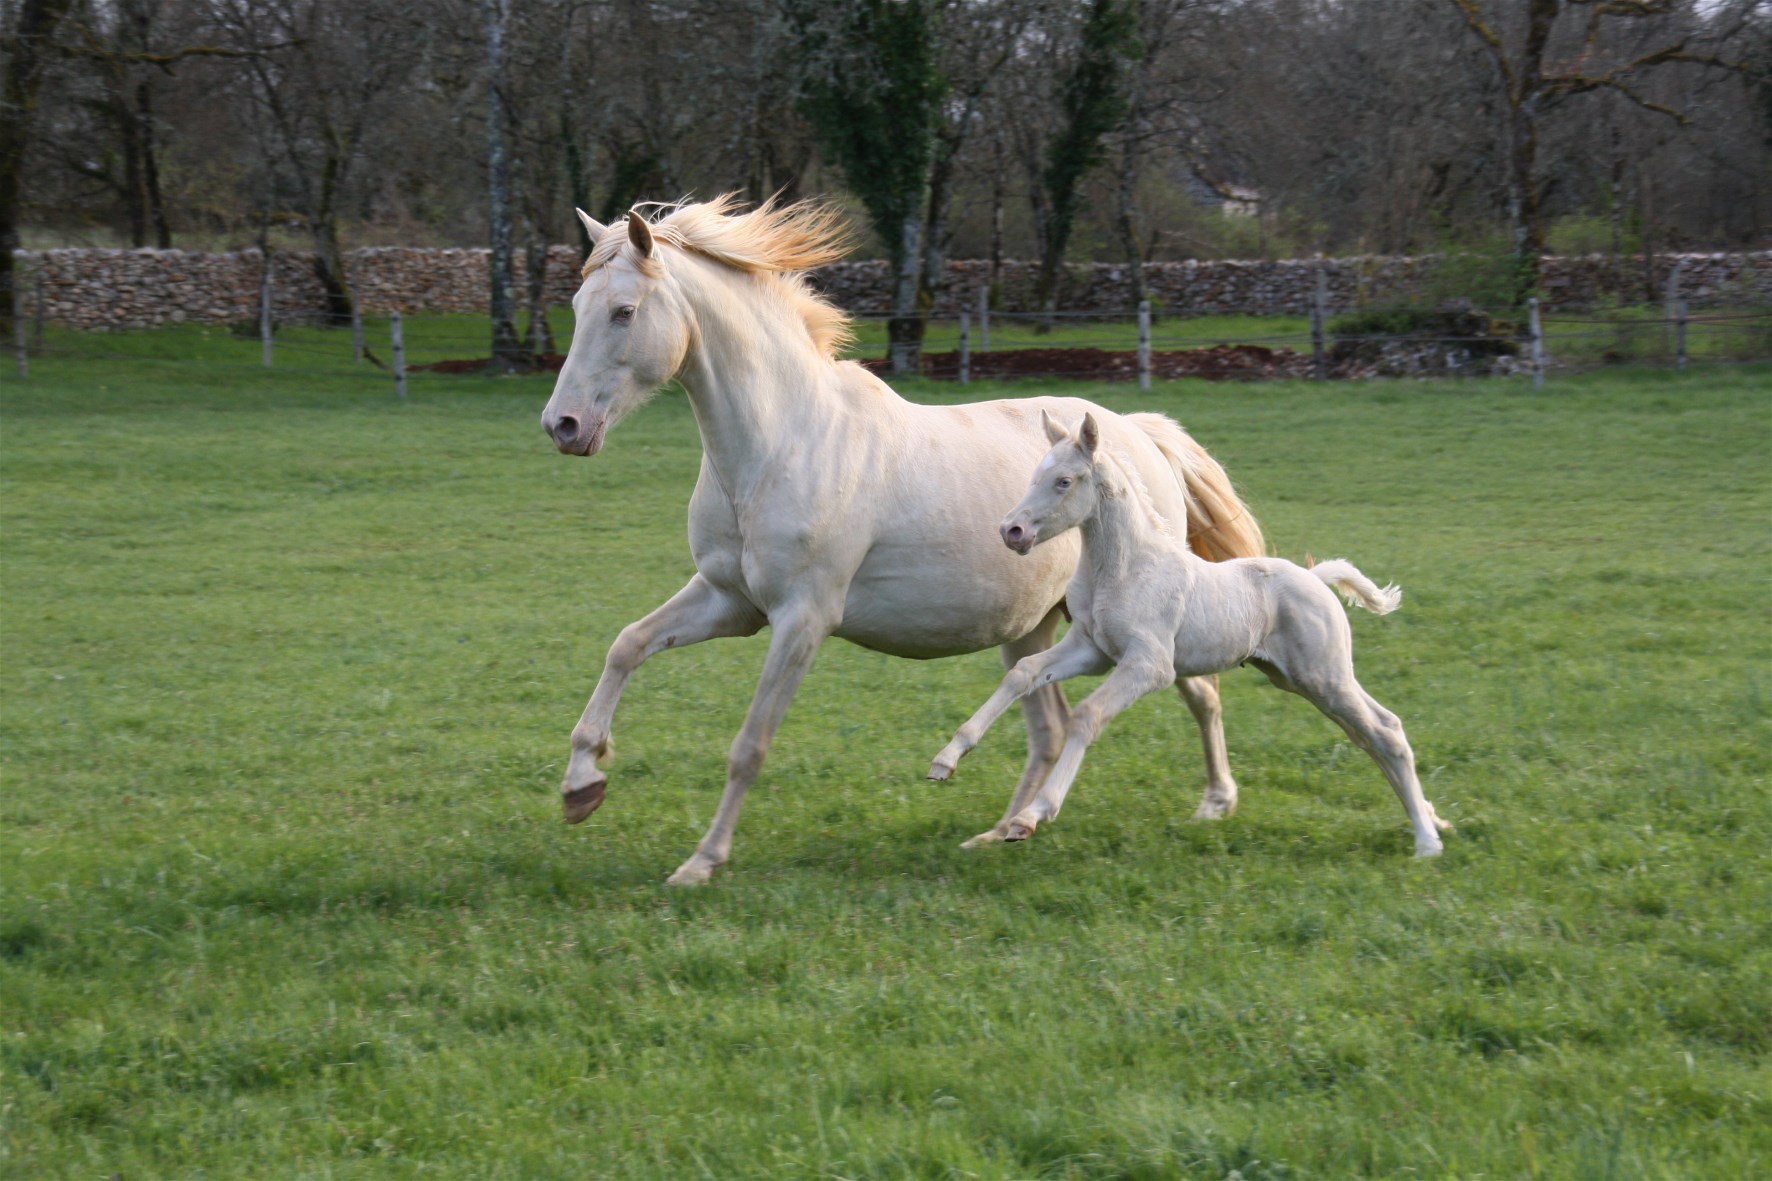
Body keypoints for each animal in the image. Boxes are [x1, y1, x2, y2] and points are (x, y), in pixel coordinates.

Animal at [535, 193, 1261, 879]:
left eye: (624, 311)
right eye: (576, 305)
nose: (561, 426)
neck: (780, 444)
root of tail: (1141, 434)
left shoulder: (802, 618)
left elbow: (750, 744)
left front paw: (703, 861)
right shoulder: (729, 601)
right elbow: (627, 645)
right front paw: (582, 785)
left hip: (1137, 623)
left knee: (1198, 693)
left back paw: (1214, 803)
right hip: (1036, 626)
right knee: (1049, 727)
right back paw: (1005, 830)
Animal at [928, 409, 1453, 851]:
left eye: (1064, 481)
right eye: (1034, 474)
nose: (1011, 531)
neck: (1121, 569)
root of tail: (1317, 577)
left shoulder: (1149, 665)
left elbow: (1086, 715)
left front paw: (1030, 816)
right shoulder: (1090, 650)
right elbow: (1023, 672)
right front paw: (946, 761)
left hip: (1324, 676)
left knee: (1384, 733)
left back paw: (1427, 842)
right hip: (1300, 680)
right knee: (1375, 733)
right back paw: (1429, 823)